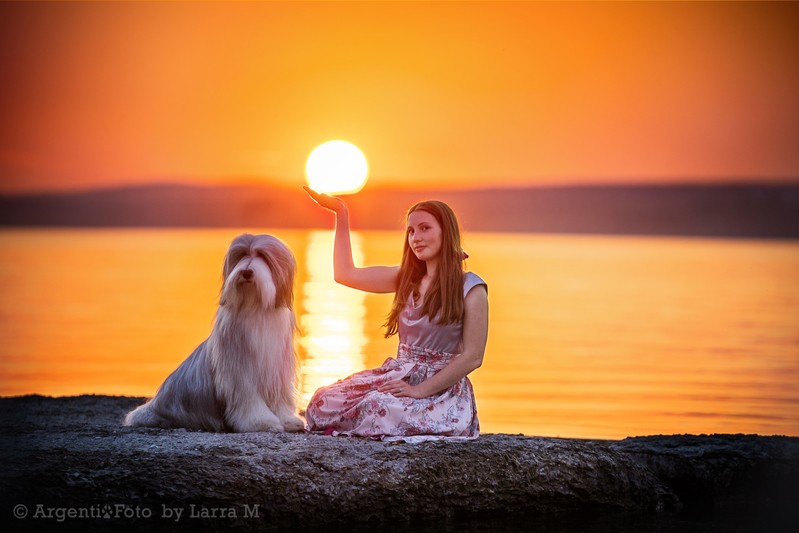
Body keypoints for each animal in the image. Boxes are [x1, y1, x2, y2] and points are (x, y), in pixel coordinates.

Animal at [125, 234, 306, 432]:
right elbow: (249, 400)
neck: (255, 306)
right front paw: (261, 422)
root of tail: (153, 405)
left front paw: (288, 420)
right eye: (241, 255)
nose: (247, 272)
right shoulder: (240, 371)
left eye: (263, 256)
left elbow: (280, 397)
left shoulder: (277, 369)